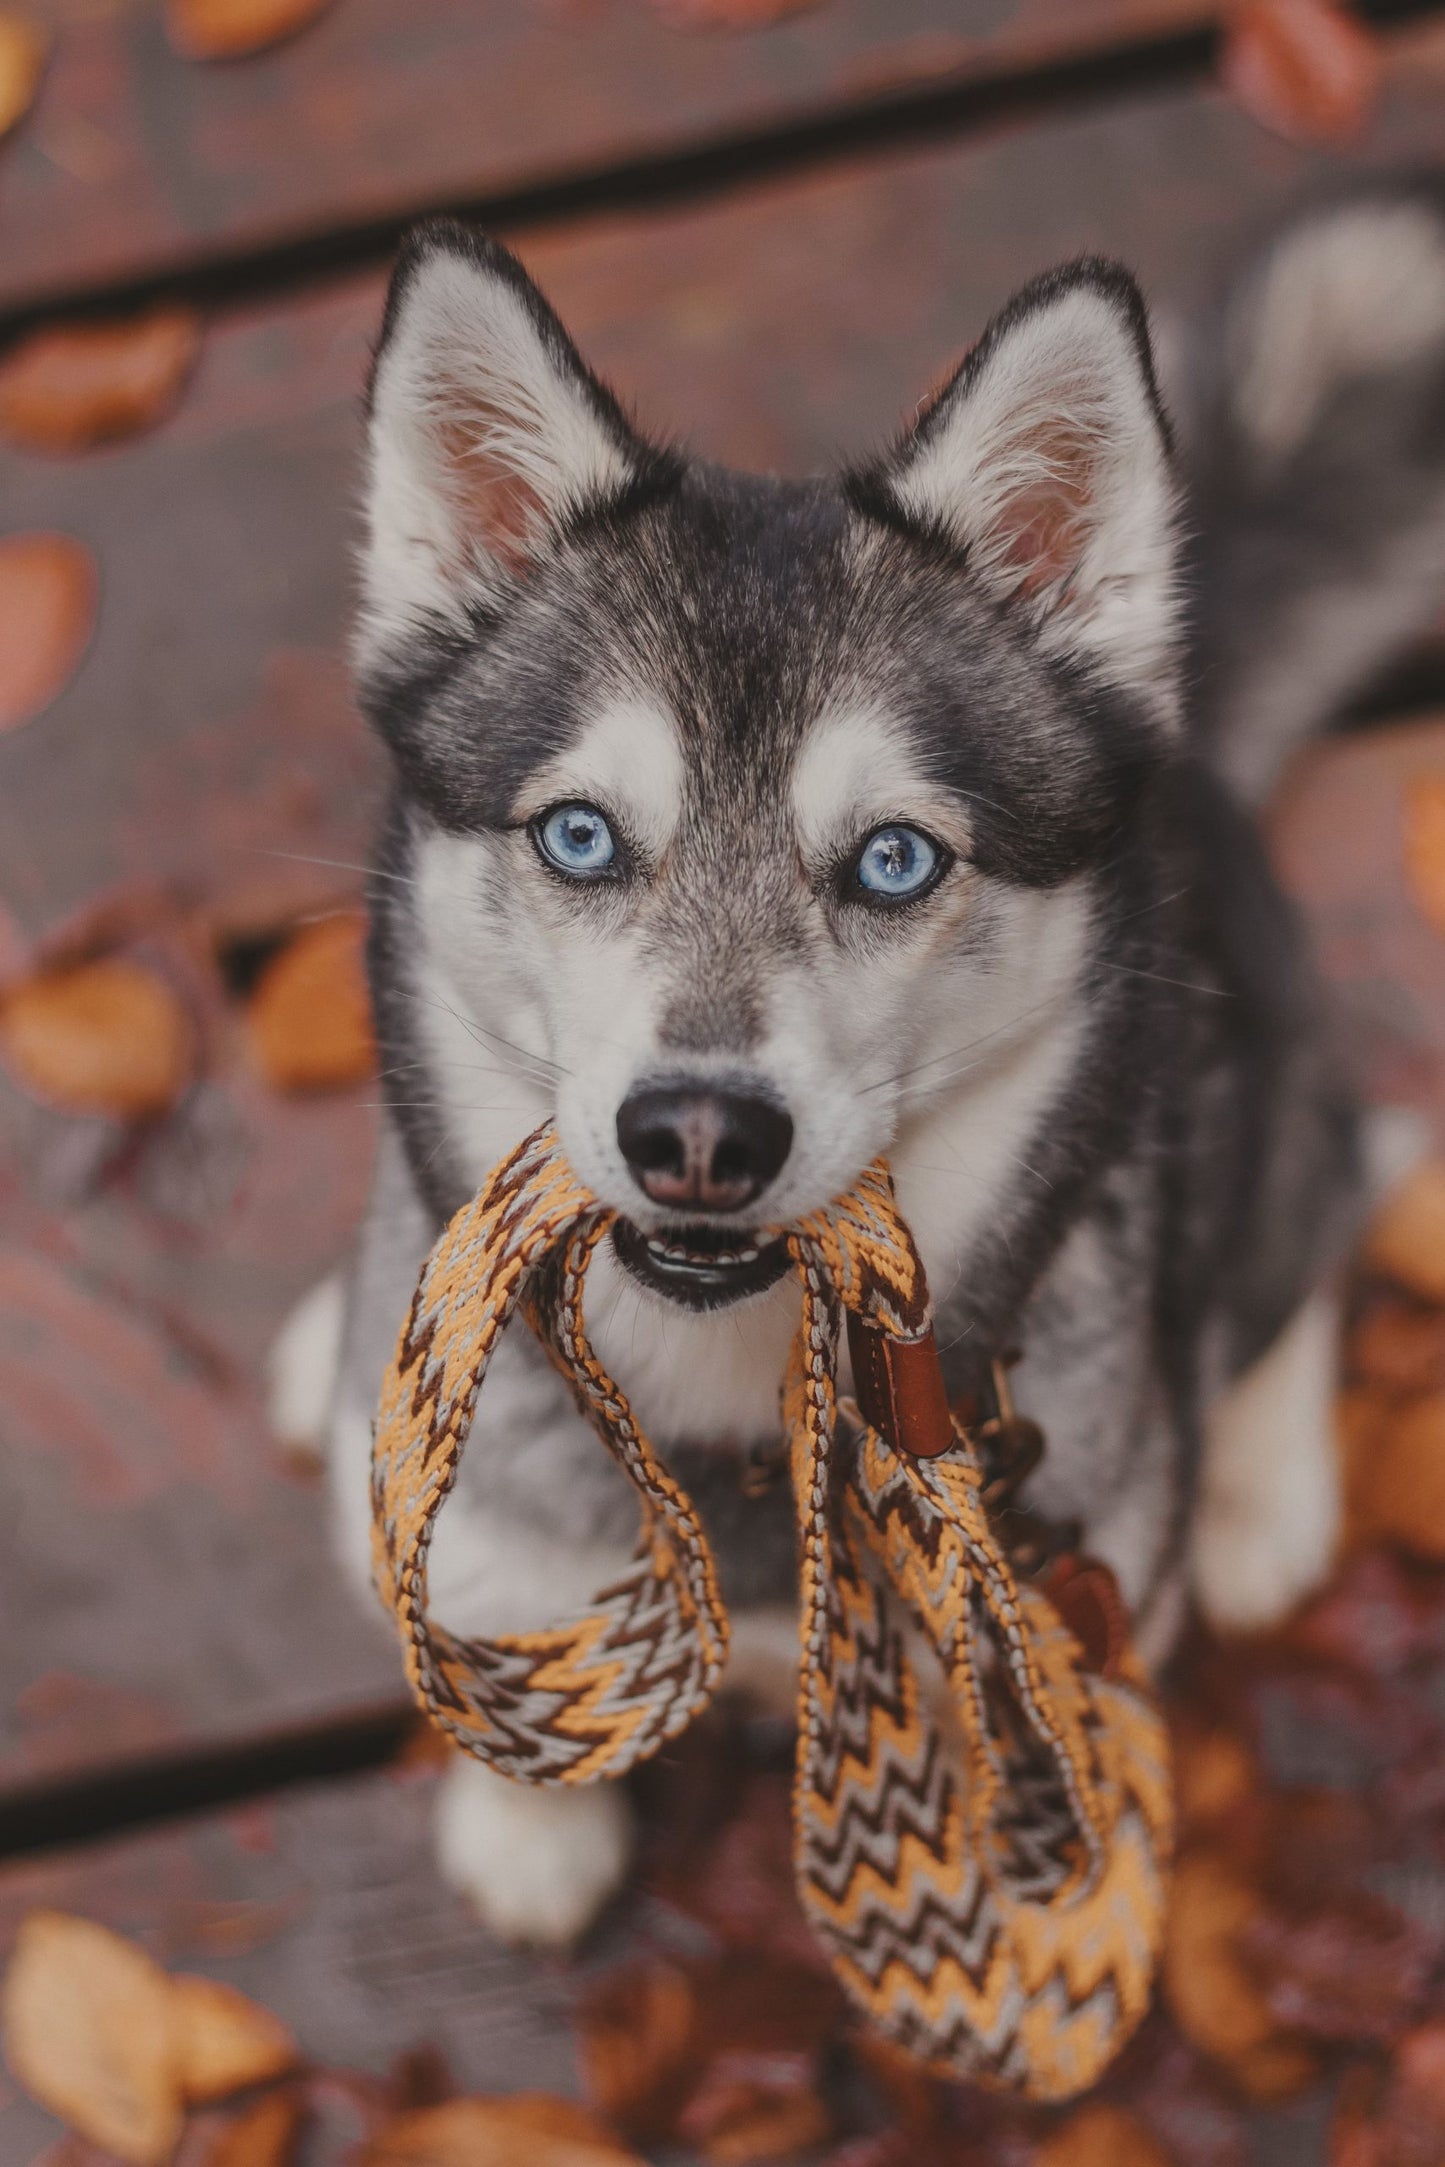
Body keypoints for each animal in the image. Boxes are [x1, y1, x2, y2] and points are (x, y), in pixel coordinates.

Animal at [268, 182, 1445, 1950]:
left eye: (895, 860)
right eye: (579, 834)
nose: (698, 1129)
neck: (728, 1419)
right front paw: (526, 1823)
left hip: (1263, 1079)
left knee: (1326, 1190)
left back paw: (1257, 1488)